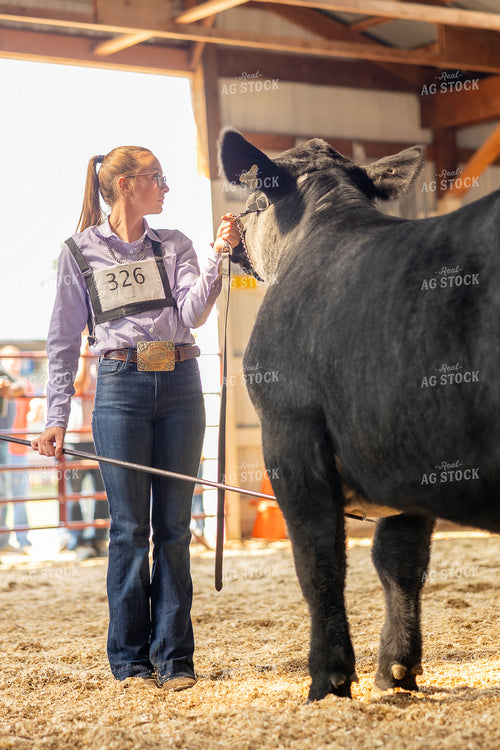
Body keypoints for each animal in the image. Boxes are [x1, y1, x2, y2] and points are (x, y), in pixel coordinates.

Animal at [218, 128, 500, 702]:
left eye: (255, 198)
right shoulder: (408, 455)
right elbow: (400, 562)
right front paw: (397, 672)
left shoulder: (289, 431)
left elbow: (318, 558)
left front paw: (328, 682)